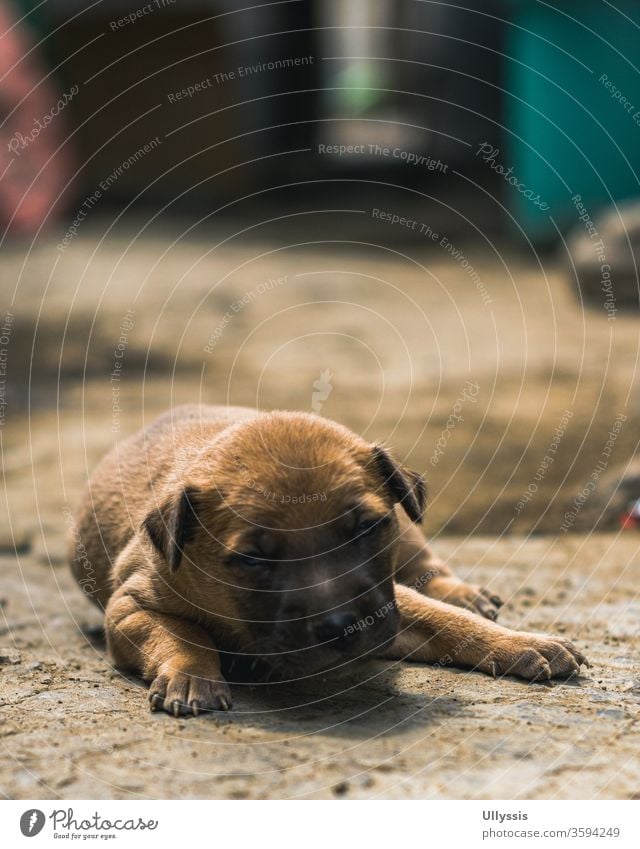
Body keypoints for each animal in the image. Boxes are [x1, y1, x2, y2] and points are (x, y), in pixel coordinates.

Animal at [69, 404, 584, 716]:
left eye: (366, 529)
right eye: (253, 559)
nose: (343, 628)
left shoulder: (388, 603)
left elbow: (447, 621)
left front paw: (520, 643)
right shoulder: (131, 606)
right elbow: (183, 633)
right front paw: (192, 675)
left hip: (410, 534)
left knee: (429, 570)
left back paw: (465, 593)